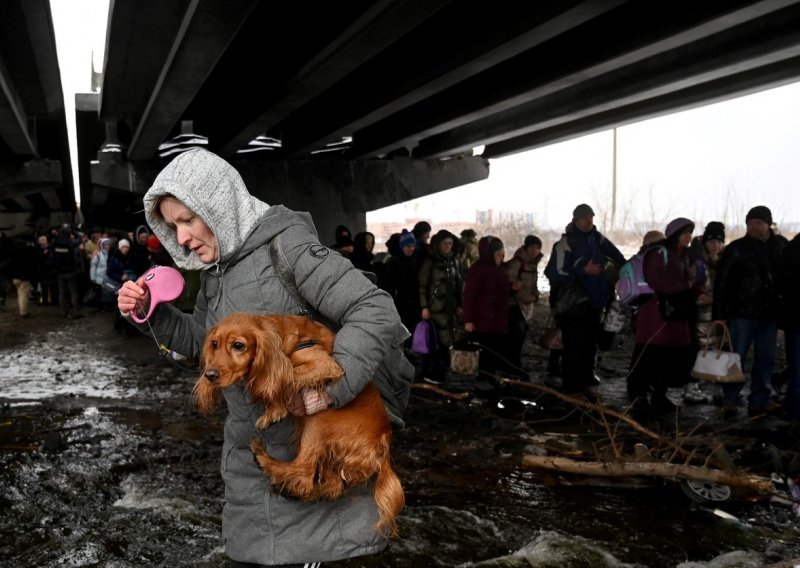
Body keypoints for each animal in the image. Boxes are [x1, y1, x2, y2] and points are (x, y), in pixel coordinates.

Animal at [195, 310, 406, 536]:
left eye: (238, 345)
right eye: (214, 344)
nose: (209, 375)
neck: (284, 339)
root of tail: (383, 442)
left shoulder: (325, 365)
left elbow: (286, 378)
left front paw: (276, 406)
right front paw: (274, 410)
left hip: (320, 420)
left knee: (304, 473)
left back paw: (264, 461)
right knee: (328, 487)